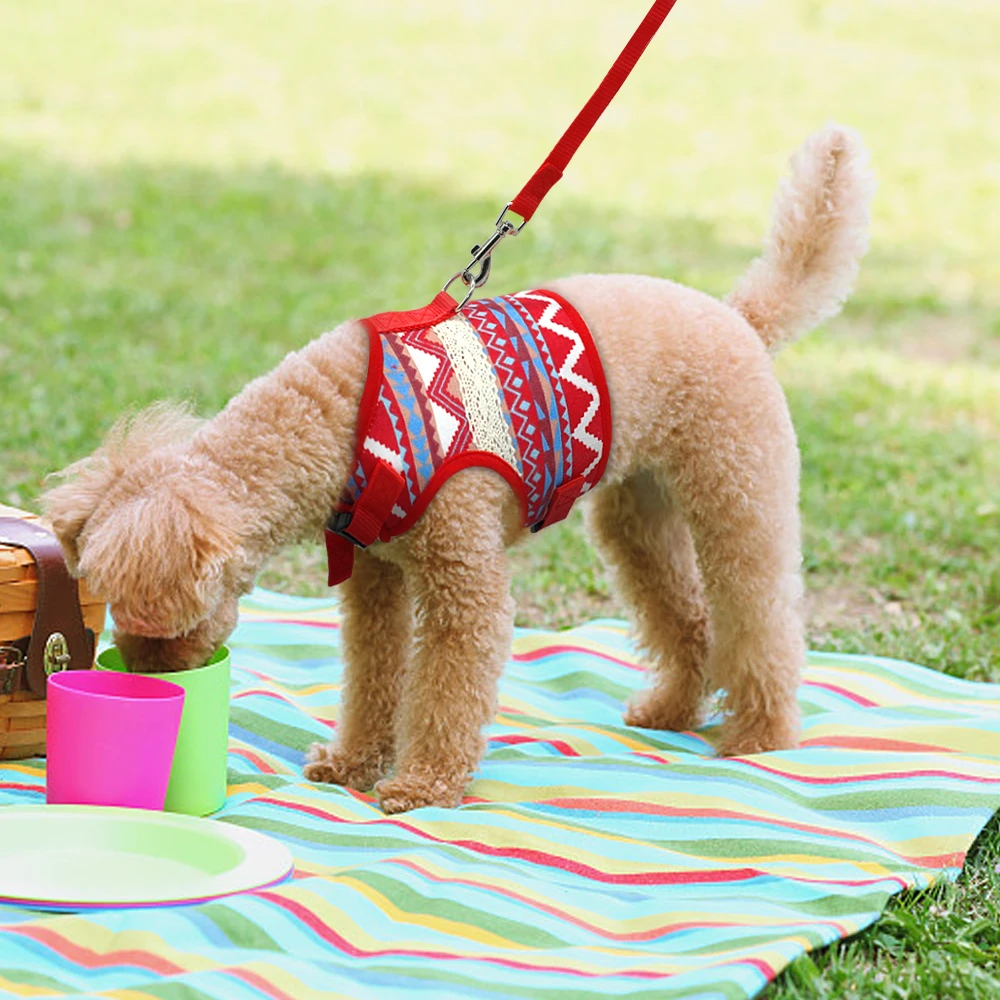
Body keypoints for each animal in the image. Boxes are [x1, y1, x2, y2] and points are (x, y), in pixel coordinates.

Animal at [41, 125, 868, 812]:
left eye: (158, 620)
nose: (151, 676)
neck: (345, 423)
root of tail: (741, 317)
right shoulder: (377, 576)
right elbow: (374, 673)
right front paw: (351, 764)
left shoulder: (462, 580)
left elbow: (445, 686)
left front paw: (420, 785)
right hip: (638, 510)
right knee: (688, 616)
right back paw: (671, 709)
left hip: (738, 485)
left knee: (759, 614)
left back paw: (759, 734)